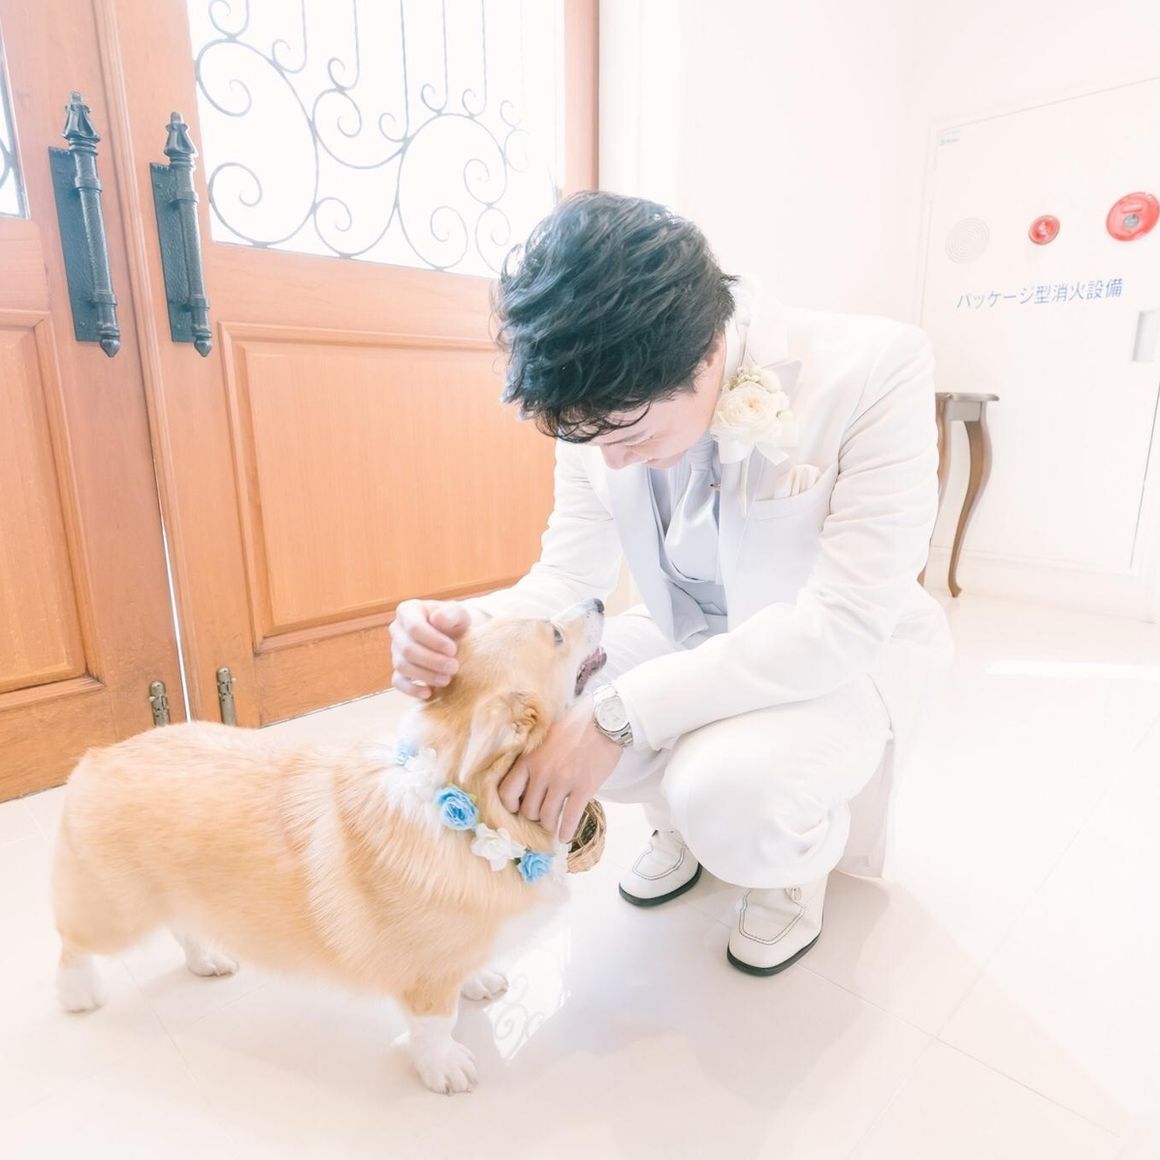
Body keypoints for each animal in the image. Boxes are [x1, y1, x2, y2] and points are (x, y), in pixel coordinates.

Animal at [51, 598, 606, 1094]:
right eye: (555, 634)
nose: (600, 600)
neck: (470, 812)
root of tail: (95, 759)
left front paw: (478, 980)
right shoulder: (426, 976)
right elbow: (434, 1025)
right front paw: (444, 1068)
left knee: (182, 924)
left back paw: (207, 958)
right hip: (117, 915)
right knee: (72, 943)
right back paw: (78, 994)